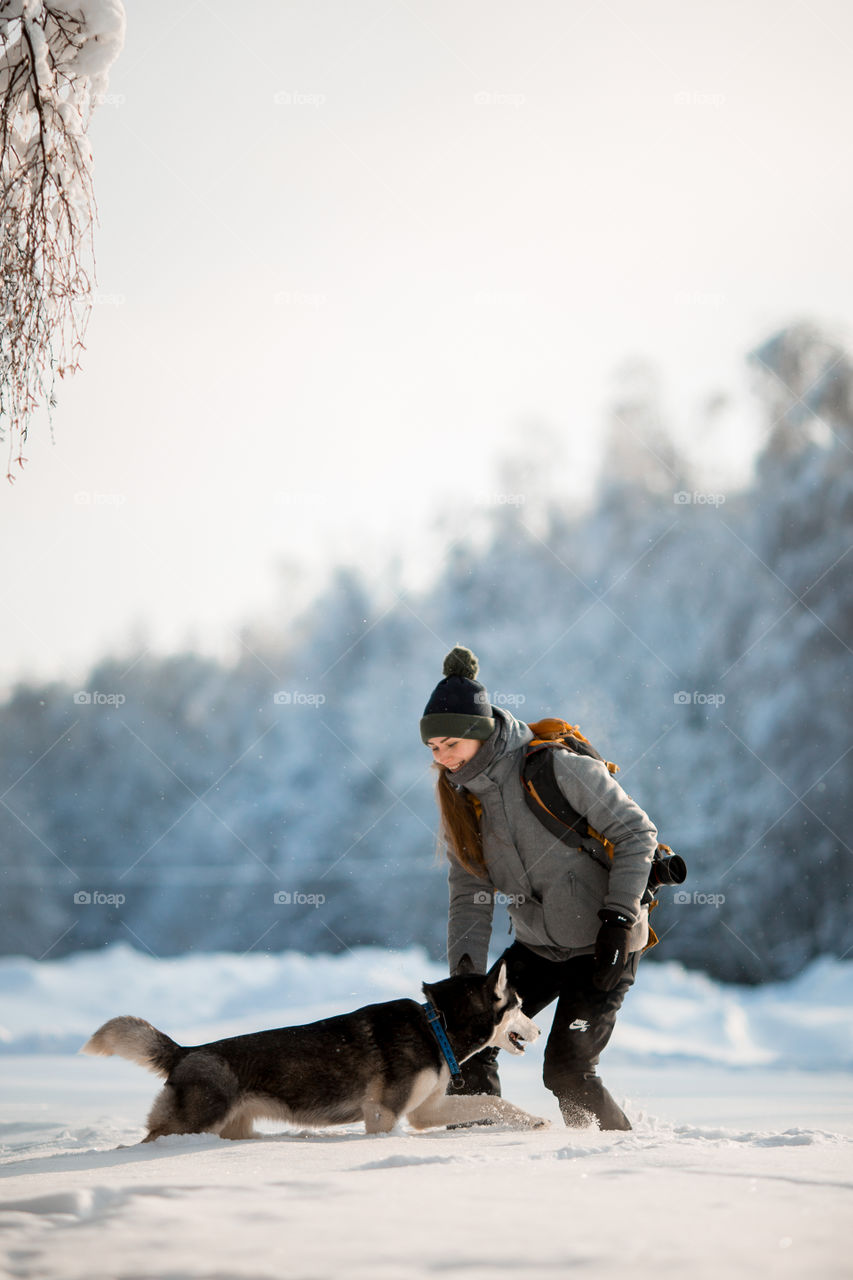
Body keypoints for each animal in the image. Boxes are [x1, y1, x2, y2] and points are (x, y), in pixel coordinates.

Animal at [84, 952, 545, 1141]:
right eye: (521, 1005)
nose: (539, 1032)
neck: (438, 1027)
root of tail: (185, 1051)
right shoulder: (382, 1114)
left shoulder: (423, 1111)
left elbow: (492, 1103)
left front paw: (536, 1121)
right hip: (194, 1122)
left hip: (232, 1127)